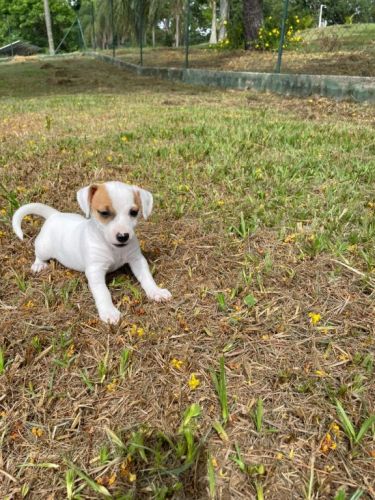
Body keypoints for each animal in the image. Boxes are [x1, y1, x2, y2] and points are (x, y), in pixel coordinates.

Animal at [11, 182, 173, 322]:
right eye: (104, 213)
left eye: (134, 212)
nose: (123, 236)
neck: (114, 249)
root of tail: (54, 215)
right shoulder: (95, 271)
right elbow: (103, 292)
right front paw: (109, 311)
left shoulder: (137, 260)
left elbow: (147, 277)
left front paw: (156, 291)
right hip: (44, 247)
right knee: (39, 254)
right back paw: (39, 265)